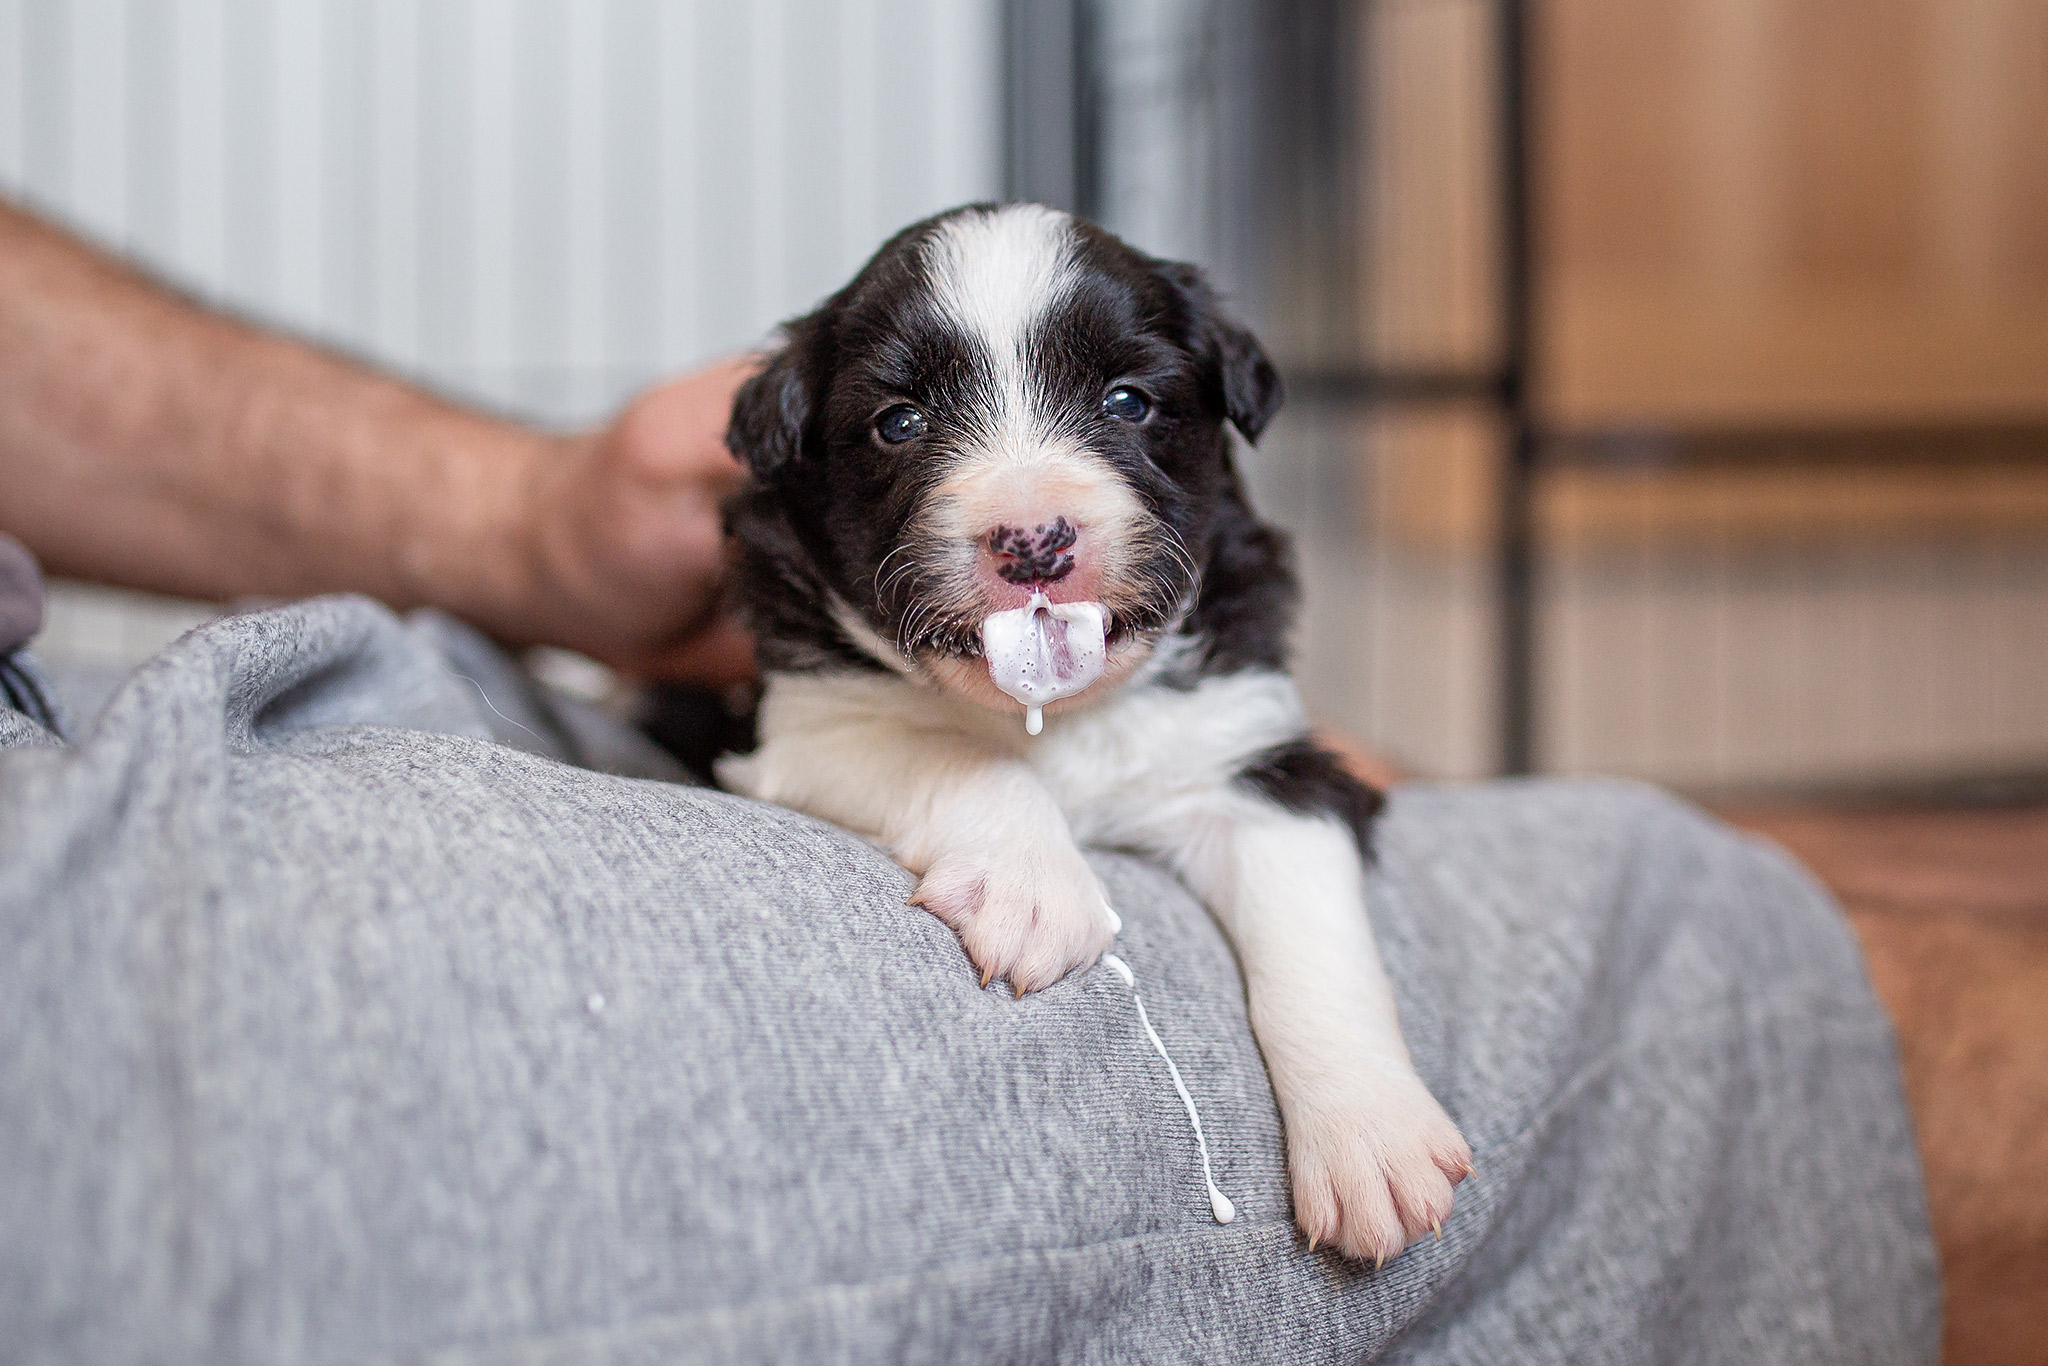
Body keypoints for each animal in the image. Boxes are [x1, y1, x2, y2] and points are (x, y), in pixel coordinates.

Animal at [720, 200, 1474, 1261]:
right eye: (900, 422)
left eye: (1127, 402)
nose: (1034, 540)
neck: (1058, 716)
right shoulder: (803, 724)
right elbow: (955, 753)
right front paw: (1033, 891)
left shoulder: (1256, 757)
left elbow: (1315, 938)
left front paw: (1375, 1138)